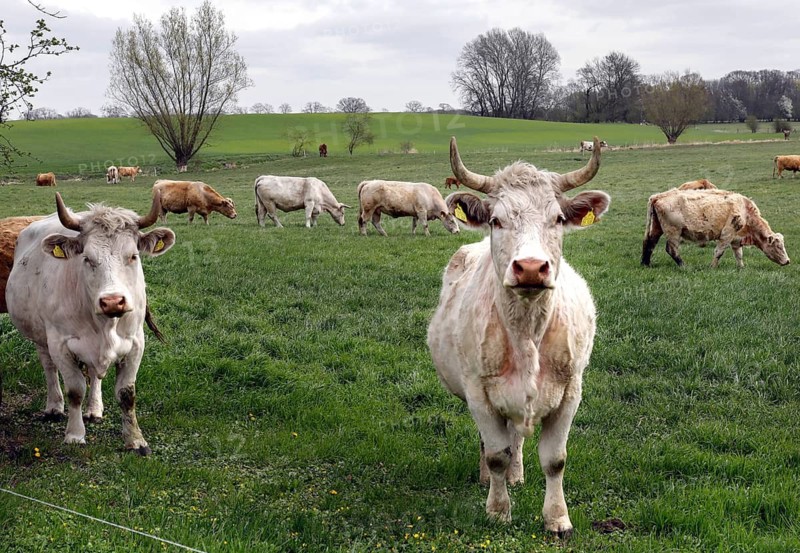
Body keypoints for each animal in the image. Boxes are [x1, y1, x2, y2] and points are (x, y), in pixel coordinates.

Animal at [5, 193, 175, 453]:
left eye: (133, 256)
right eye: (87, 258)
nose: (113, 301)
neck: (105, 324)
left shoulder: (136, 343)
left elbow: (127, 394)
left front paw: (135, 439)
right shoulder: (60, 344)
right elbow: (75, 390)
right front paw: (75, 434)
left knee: (95, 374)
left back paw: (94, 409)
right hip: (40, 336)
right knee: (49, 367)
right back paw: (54, 405)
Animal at [427, 137, 610, 536]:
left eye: (558, 219)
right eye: (497, 220)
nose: (529, 268)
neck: (527, 333)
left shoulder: (570, 392)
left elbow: (555, 459)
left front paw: (557, 518)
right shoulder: (478, 392)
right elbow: (496, 453)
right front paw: (498, 510)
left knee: (517, 436)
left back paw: (517, 475)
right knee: (494, 443)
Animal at [642, 189, 789, 268]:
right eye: (778, 246)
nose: (788, 261)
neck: (745, 211)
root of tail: (658, 196)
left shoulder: (736, 239)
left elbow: (739, 255)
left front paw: (742, 267)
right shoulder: (727, 235)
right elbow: (719, 252)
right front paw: (712, 267)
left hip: (656, 229)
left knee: (649, 244)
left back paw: (646, 264)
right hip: (673, 232)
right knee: (672, 250)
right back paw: (684, 266)